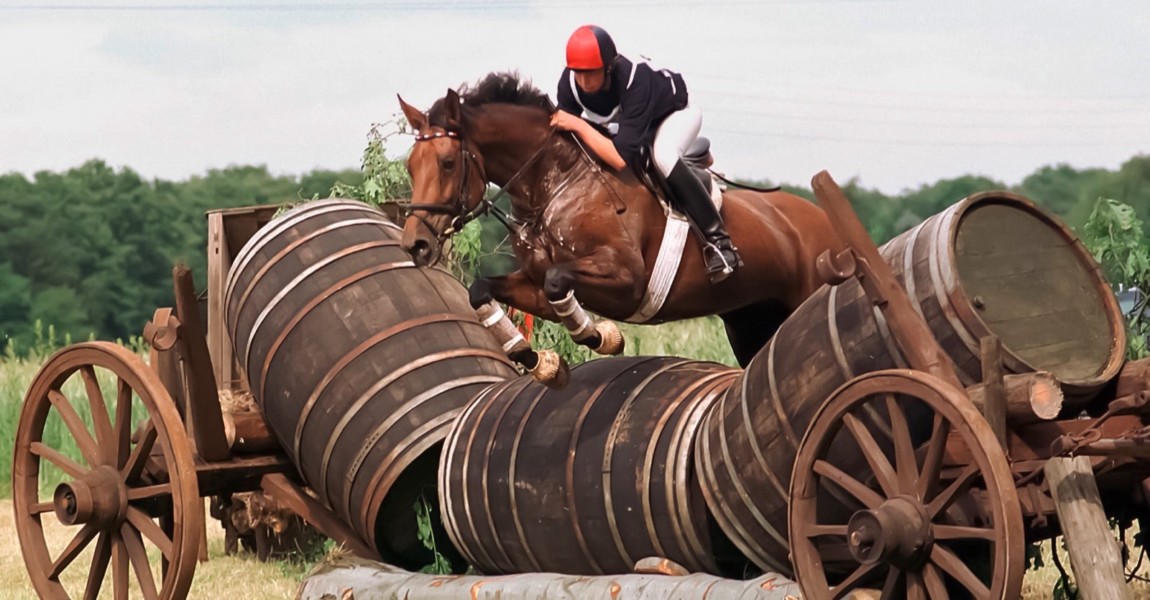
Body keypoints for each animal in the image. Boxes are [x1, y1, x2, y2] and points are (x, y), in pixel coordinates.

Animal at [400, 72, 841, 377]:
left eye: (448, 163)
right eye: (411, 165)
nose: (415, 244)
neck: (558, 182)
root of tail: (825, 219)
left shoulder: (625, 280)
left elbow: (560, 281)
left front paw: (599, 337)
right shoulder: (536, 284)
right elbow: (483, 290)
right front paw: (535, 360)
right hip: (751, 320)